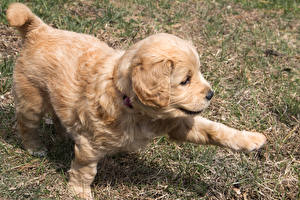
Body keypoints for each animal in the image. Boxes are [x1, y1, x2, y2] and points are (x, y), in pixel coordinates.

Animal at [6, 2, 264, 198]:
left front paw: (252, 140)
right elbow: (85, 170)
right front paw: (79, 192)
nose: (211, 93)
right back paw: (35, 148)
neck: (134, 107)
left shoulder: (177, 122)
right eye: (185, 80)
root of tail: (40, 30)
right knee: (27, 124)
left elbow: (214, 129)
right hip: (31, 99)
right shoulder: (91, 145)